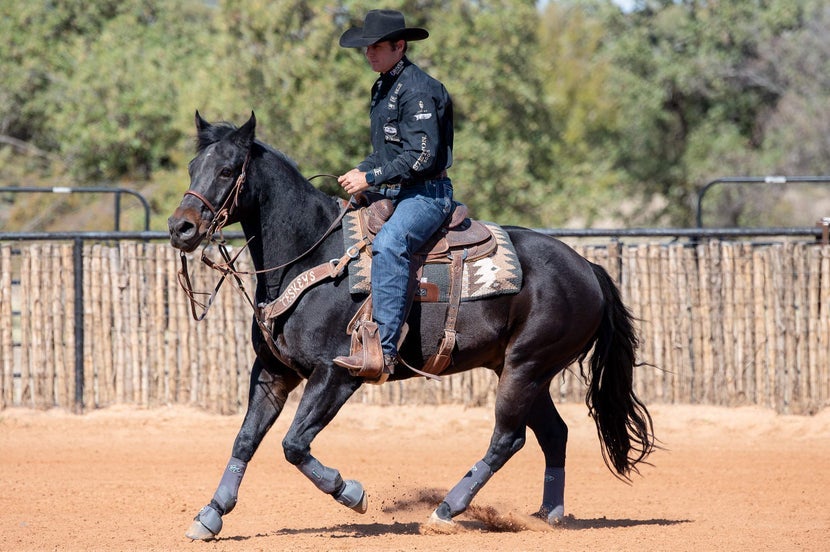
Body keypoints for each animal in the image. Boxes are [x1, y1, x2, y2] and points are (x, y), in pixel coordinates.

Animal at [168, 111, 655, 540]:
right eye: (193, 167)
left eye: (228, 169)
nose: (180, 227)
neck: (310, 256)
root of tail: (588, 268)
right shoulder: (273, 372)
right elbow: (245, 439)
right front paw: (210, 515)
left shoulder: (336, 375)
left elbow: (294, 444)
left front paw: (351, 492)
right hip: (523, 371)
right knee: (554, 434)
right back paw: (547, 517)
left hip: (527, 367)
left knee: (507, 439)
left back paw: (445, 511)